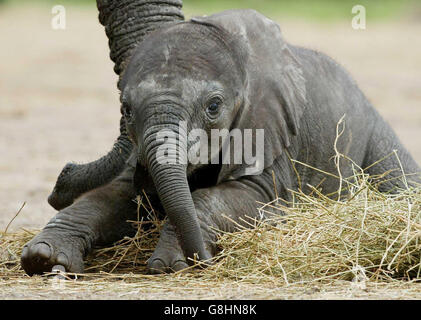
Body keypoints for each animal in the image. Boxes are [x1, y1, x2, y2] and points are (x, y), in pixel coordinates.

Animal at [21, 10, 418, 276]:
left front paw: (171, 264)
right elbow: (116, 196)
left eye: (213, 107)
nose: (204, 261)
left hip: (375, 135)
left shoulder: (268, 129)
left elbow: (249, 197)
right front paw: (44, 259)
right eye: (126, 109)